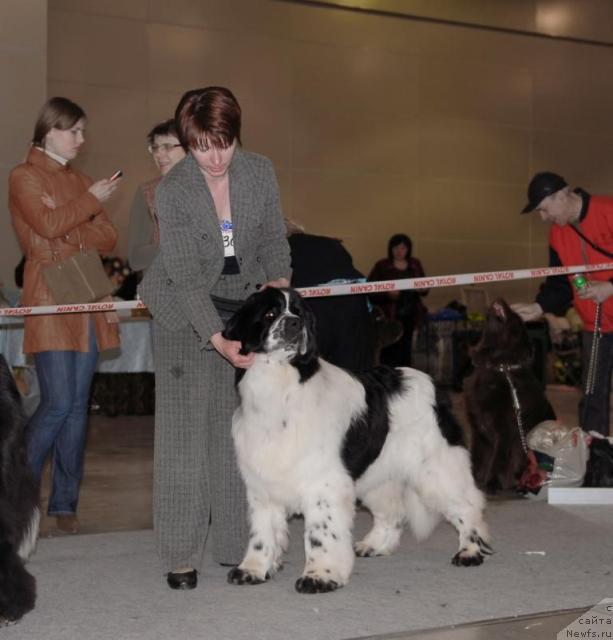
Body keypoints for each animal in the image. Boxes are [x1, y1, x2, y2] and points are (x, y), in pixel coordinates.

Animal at [222, 288, 490, 592]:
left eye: (299, 313)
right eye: (270, 313)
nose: (293, 324)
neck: (280, 387)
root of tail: (432, 383)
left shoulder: (324, 484)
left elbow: (320, 534)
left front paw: (319, 576)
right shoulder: (262, 484)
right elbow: (262, 533)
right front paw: (252, 569)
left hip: (436, 468)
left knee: (468, 504)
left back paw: (470, 550)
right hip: (379, 472)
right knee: (393, 511)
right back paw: (375, 545)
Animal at [464, 298, 556, 492]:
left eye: (517, 318)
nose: (501, 299)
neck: (500, 366)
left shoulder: (504, 430)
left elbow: (497, 460)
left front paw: (490, 484)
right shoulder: (479, 431)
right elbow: (477, 458)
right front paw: (473, 480)